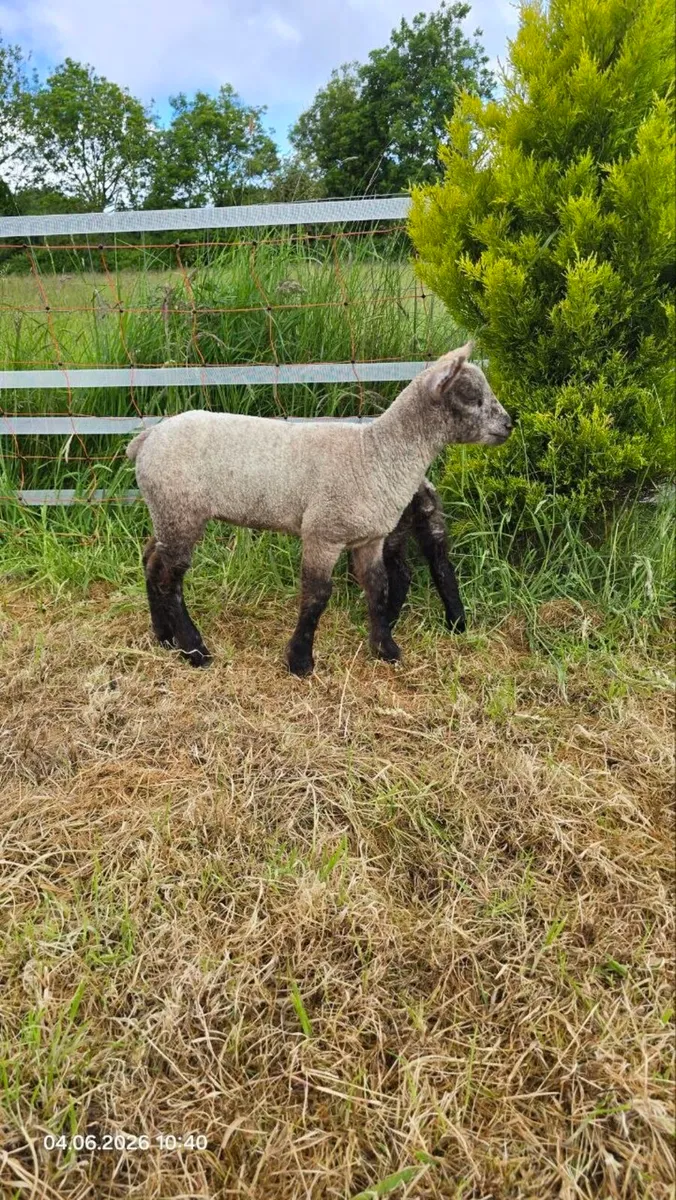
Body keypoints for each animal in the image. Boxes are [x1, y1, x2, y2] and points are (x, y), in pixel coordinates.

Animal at [126, 342, 512, 675]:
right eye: (471, 396)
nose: (509, 424)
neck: (375, 453)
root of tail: (147, 439)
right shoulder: (322, 533)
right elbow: (317, 595)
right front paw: (300, 661)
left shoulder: (370, 538)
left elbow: (379, 586)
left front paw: (385, 648)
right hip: (181, 508)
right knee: (168, 578)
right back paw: (194, 650)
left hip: (166, 510)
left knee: (151, 559)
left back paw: (164, 637)